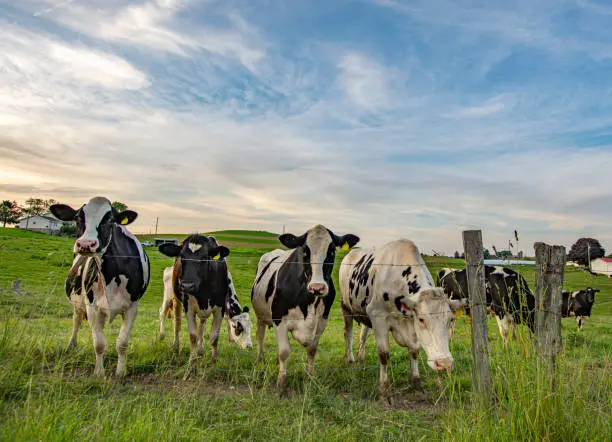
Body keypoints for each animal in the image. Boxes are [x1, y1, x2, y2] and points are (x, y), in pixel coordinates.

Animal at [49, 197, 150, 376]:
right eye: (78, 218)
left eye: (109, 220)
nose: (85, 244)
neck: (111, 275)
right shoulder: (92, 306)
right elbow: (99, 343)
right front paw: (99, 372)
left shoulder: (132, 306)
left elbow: (122, 342)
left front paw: (120, 371)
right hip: (80, 303)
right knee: (77, 320)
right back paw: (71, 345)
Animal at [158, 235, 251, 366]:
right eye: (238, 328)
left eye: (205, 258)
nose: (249, 346)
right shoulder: (189, 308)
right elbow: (193, 335)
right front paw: (191, 362)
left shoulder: (219, 309)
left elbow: (213, 336)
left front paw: (212, 361)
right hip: (171, 296)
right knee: (172, 319)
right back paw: (171, 344)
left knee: (200, 325)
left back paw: (200, 352)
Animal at [251, 224, 360, 390]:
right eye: (304, 252)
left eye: (332, 251)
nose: (317, 287)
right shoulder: (279, 319)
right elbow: (284, 352)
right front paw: (281, 383)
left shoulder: (321, 322)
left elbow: (312, 350)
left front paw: (310, 377)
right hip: (261, 316)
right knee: (260, 336)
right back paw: (259, 359)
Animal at [340, 238, 464, 394]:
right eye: (422, 319)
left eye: (450, 320)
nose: (444, 363)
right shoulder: (377, 316)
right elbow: (384, 354)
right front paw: (384, 386)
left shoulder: (410, 323)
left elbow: (414, 351)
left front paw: (415, 380)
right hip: (346, 307)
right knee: (348, 333)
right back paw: (350, 359)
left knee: (363, 334)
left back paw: (361, 357)